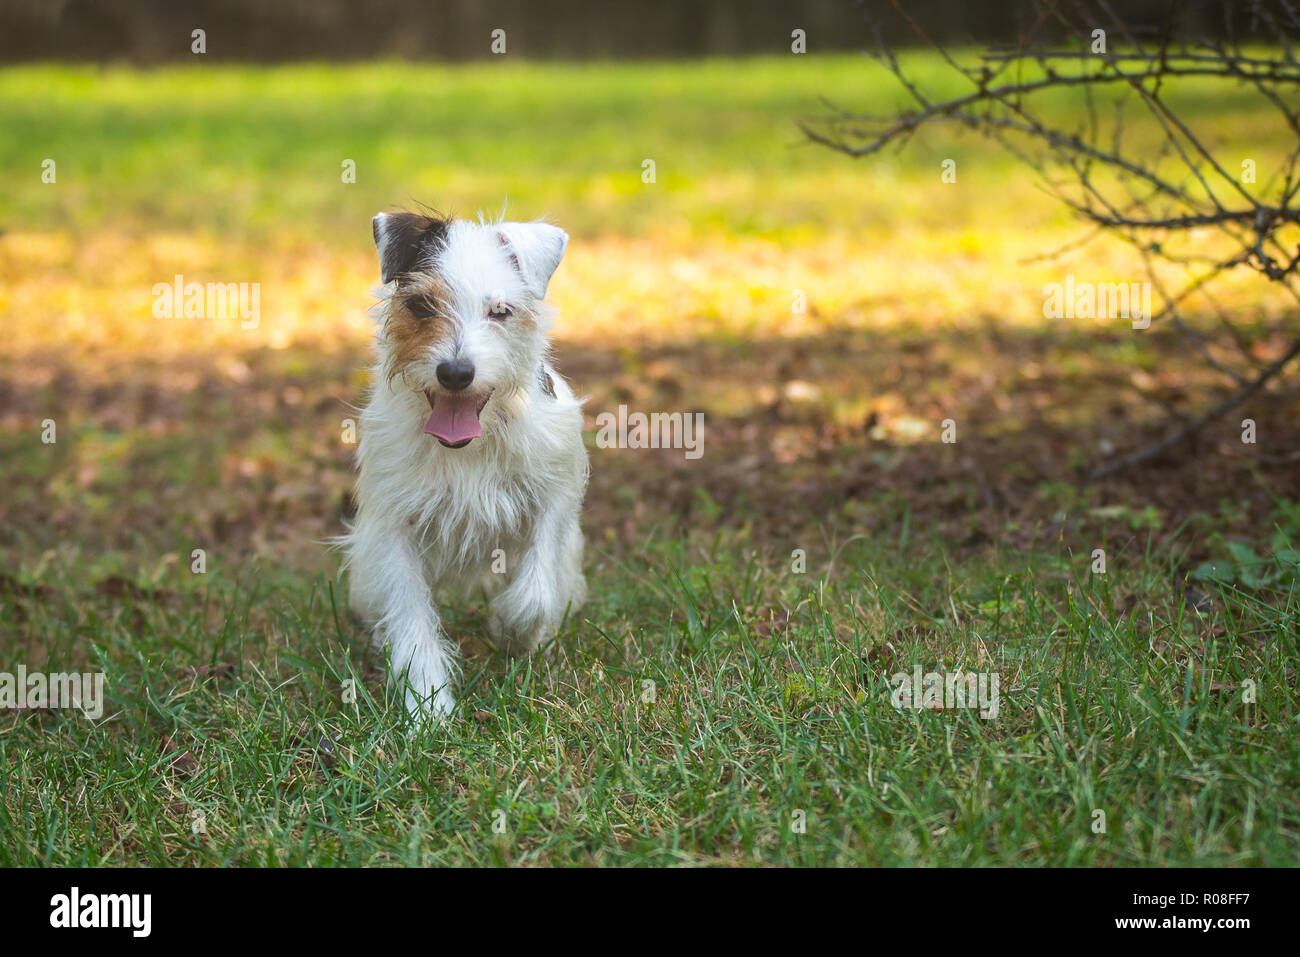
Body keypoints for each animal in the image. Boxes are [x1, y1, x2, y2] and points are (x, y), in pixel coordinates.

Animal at [345, 209, 590, 717]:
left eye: (500, 311)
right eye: (421, 305)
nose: (455, 373)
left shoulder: (555, 492)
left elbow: (537, 586)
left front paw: (514, 628)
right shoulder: (395, 527)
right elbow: (411, 617)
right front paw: (428, 706)